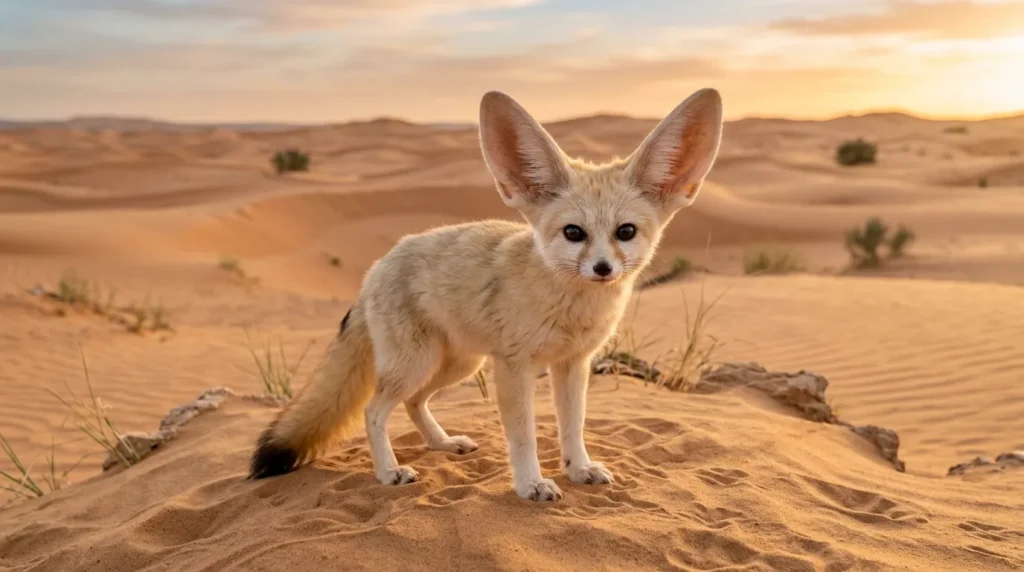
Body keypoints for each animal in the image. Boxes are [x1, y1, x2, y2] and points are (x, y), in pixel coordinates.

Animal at [248, 87, 724, 501]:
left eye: (625, 232)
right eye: (574, 233)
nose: (603, 269)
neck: (571, 310)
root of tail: (377, 266)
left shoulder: (572, 365)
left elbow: (573, 427)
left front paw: (579, 469)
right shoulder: (514, 367)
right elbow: (524, 435)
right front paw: (530, 484)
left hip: (455, 364)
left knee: (414, 403)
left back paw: (442, 444)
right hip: (419, 364)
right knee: (374, 410)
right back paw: (388, 471)